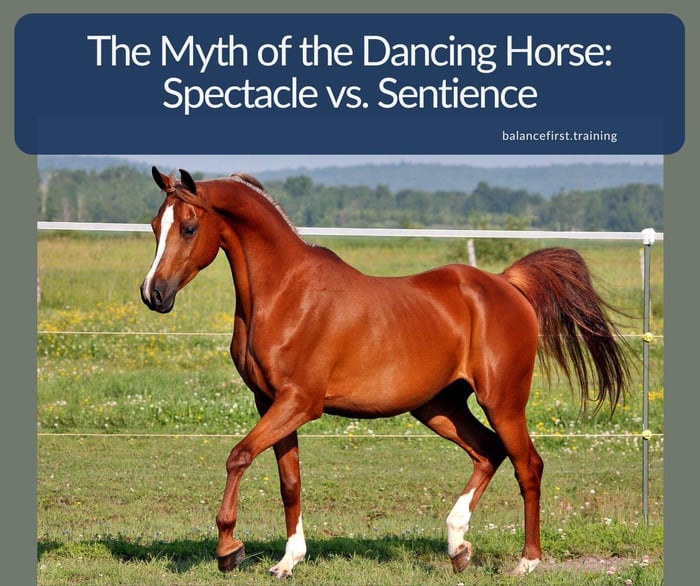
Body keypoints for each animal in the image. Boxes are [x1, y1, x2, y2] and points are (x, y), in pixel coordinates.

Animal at [140, 167, 629, 578]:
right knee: (488, 451)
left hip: (503, 401)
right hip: (439, 407)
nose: (153, 294)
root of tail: (507, 285)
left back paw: (527, 562)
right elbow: (289, 482)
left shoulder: (300, 402)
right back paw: (458, 546)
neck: (285, 293)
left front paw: (229, 549)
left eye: (189, 227)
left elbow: (238, 456)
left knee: (527, 465)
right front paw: (287, 562)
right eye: (154, 226)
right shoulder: (271, 403)